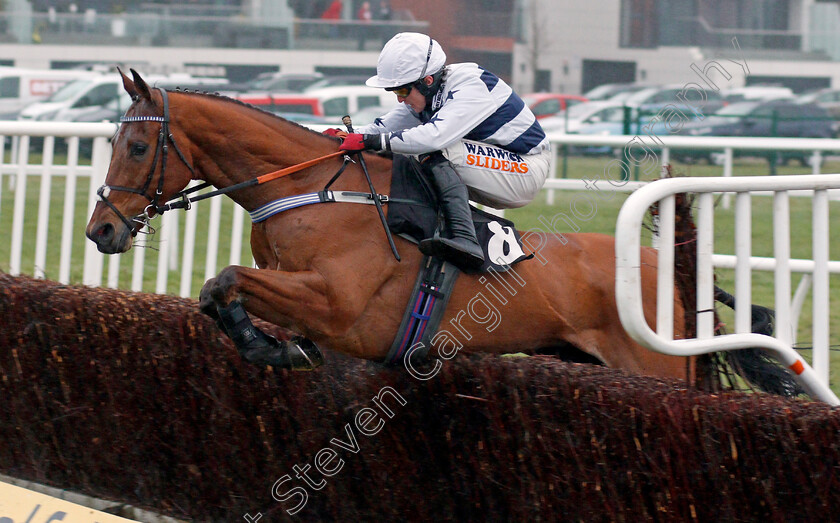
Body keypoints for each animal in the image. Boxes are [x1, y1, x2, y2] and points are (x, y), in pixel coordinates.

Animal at [87, 69, 796, 396]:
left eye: (139, 146)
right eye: (115, 142)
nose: (101, 230)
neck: (310, 190)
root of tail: (667, 271)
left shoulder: (340, 306)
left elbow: (225, 280)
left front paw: (270, 347)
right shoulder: (294, 288)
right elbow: (218, 291)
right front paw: (270, 344)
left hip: (655, 370)